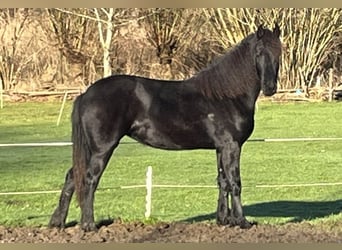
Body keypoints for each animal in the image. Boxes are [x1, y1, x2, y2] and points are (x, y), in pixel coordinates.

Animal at [49, 23, 282, 230]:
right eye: (259, 52)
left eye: (279, 52)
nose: (270, 87)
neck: (226, 95)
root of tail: (86, 93)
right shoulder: (231, 146)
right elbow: (235, 182)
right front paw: (242, 221)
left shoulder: (220, 148)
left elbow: (222, 181)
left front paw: (224, 220)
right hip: (101, 150)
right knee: (89, 179)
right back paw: (88, 225)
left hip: (90, 150)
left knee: (72, 177)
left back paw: (57, 223)